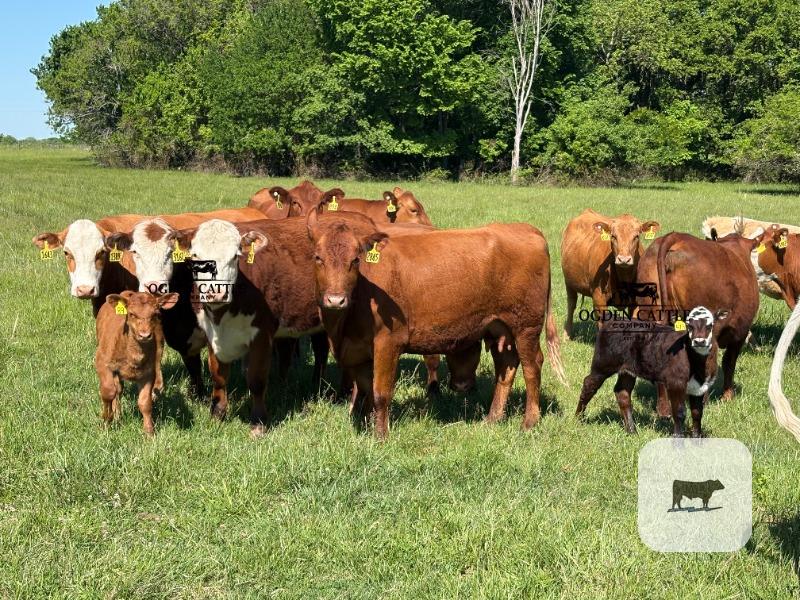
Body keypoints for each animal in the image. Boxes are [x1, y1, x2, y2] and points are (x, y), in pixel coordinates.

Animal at [95, 291, 179, 435]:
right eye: (131, 314)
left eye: (155, 314)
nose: (144, 335)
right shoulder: (101, 361)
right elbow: (108, 391)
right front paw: (106, 421)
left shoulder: (149, 373)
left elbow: (145, 402)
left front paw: (149, 432)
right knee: (117, 389)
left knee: (120, 388)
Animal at [305, 210, 566, 440]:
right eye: (318, 258)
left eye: (355, 259)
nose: (336, 299)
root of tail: (526, 228)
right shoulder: (358, 351)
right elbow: (366, 391)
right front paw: (367, 427)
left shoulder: (388, 343)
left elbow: (380, 393)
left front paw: (380, 436)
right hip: (499, 328)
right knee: (506, 367)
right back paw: (492, 418)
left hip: (526, 327)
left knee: (532, 367)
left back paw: (529, 422)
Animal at [561, 209, 660, 338]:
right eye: (613, 236)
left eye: (636, 236)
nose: (624, 259)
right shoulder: (599, 298)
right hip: (569, 283)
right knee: (571, 305)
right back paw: (567, 334)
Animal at [576, 306, 728, 437]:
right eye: (689, 326)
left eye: (710, 325)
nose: (699, 341)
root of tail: (614, 319)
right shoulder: (675, 382)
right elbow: (679, 412)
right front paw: (678, 439)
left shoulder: (700, 386)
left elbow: (697, 413)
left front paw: (697, 438)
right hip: (603, 363)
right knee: (589, 384)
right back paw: (578, 418)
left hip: (628, 370)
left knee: (622, 392)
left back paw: (632, 430)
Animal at [636, 232, 759, 414]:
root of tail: (674, 237)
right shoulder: (740, 331)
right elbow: (729, 362)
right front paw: (727, 396)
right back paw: (701, 402)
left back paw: (663, 410)